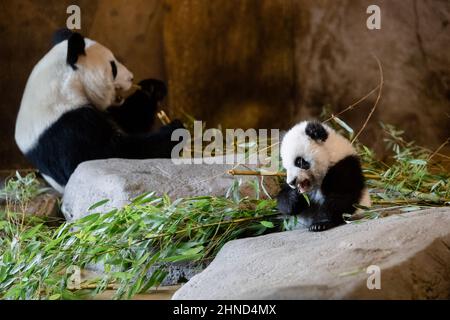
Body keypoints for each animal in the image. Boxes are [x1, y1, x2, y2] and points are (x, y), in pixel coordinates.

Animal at [14, 30, 183, 192]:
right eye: (113, 67)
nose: (131, 77)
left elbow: (131, 119)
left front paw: (152, 88)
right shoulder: (65, 129)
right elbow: (109, 155)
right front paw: (175, 131)